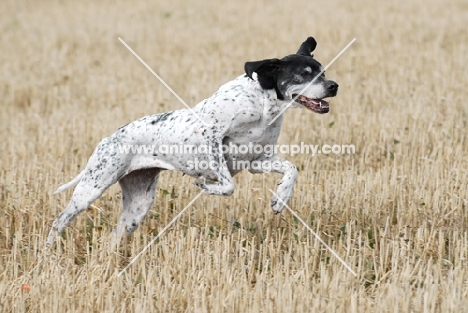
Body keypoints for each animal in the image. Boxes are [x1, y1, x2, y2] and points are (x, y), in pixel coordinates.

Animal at [47, 37, 338, 244]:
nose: (334, 86)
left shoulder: (258, 160)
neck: (263, 104)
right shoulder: (211, 138)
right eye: (305, 73)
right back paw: (49, 253)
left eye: (323, 72)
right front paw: (207, 185)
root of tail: (108, 138)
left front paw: (281, 197)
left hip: (137, 208)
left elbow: (291, 169)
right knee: (58, 222)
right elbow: (228, 185)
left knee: (112, 238)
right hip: (91, 188)